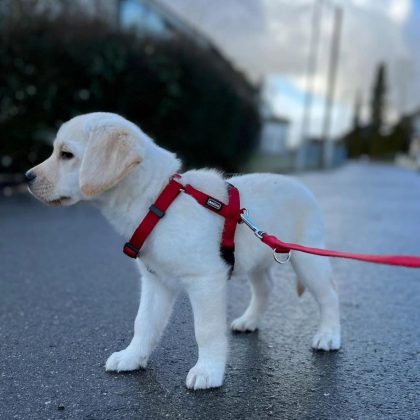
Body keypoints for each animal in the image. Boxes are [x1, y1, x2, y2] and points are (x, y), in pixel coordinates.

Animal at [27, 112, 342, 390]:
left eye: (66, 154)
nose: (27, 177)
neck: (155, 201)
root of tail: (302, 186)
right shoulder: (155, 281)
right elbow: (143, 322)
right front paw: (132, 356)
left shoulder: (205, 280)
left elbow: (205, 329)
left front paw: (208, 371)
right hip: (256, 257)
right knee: (265, 288)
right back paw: (249, 321)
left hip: (308, 259)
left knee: (329, 295)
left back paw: (328, 335)